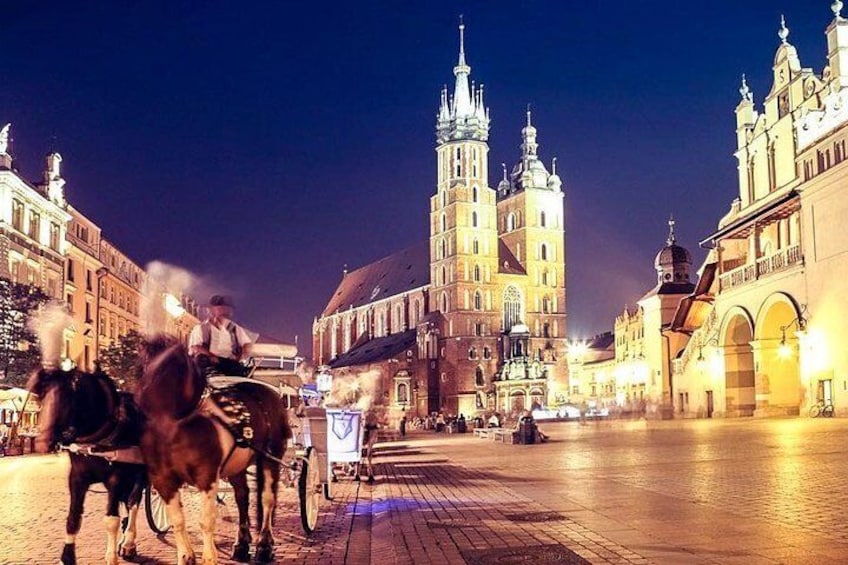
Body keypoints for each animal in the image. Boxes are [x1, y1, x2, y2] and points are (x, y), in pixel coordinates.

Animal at [27, 366, 147, 564]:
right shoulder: (77, 477)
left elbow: (111, 520)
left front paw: (111, 557)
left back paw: (129, 542)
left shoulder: (116, 479)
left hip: (142, 473)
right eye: (41, 396)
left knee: (133, 502)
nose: (42, 443)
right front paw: (67, 557)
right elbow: (73, 518)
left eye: (65, 397)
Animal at [135, 334, 288, 564]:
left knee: (268, 499)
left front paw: (209, 557)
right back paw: (242, 544)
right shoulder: (162, 479)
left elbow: (205, 520)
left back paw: (264, 546)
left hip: (271, 456)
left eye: (172, 370)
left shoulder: (206, 475)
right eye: (142, 366)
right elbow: (177, 519)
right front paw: (186, 556)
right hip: (237, 465)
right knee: (242, 497)